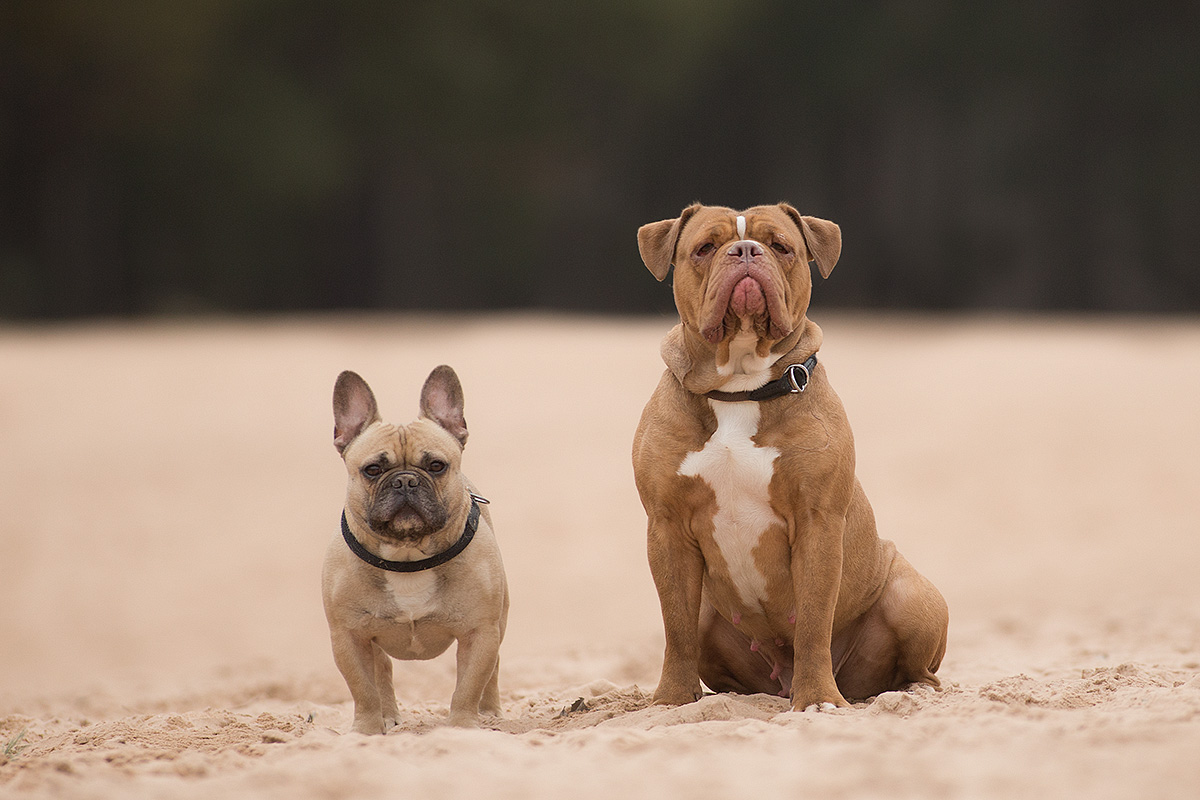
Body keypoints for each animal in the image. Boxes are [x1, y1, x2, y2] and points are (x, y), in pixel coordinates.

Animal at [321, 369, 508, 734]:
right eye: (373, 470)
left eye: (436, 466)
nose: (405, 481)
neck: (408, 557)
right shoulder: (348, 637)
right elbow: (363, 688)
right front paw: (366, 730)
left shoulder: (480, 632)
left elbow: (469, 684)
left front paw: (462, 727)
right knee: (381, 670)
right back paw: (388, 716)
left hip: (500, 622)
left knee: (492, 670)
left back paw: (490, 712)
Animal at [633, 203, 950, 710]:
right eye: (705, 247)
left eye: (781, 246)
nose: (745, 250)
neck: (740, 387)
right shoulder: (666, 527)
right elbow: (676, 626)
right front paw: (672, 700)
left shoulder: (817, 520)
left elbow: (814, 623)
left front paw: (818, 698)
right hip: (712, 614)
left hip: (911, 597)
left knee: (919, 669)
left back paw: (907, 690)